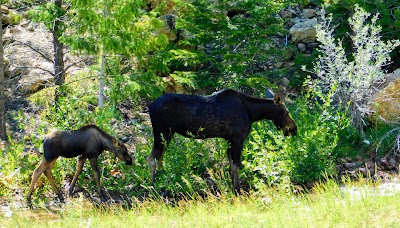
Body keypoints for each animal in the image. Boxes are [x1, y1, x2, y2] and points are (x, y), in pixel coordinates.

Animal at [147, 88, 296, 193]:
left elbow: (231, 165)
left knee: (160, 157)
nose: (294, 129)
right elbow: (236, 165)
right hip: (162, 131)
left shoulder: (229, 139)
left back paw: (162, 178)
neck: (253, 114)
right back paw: (152, 187)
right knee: (152, 158)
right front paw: (236, 190)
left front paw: (232, 186)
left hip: (168, 133)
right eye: (286, 112)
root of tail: (150, 107)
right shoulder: (237, 138)